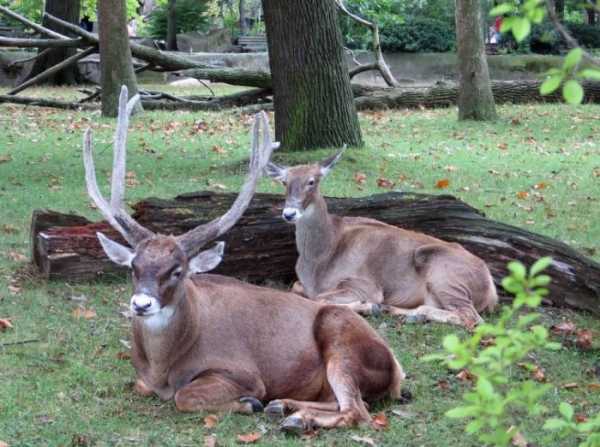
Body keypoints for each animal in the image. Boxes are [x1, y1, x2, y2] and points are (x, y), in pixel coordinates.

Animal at [82, 86, 406, 434]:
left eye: (177, 271)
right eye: (134, 266)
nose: (141, 304)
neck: (162, 367)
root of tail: (397, 370)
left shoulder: (243, 372)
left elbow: (185, 396)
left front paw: (248, 402)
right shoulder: (143, 380)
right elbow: (139, 385)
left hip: (342, 340)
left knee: (357, 411)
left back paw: (292, 416)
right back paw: (284, 407)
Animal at [268, 149, 496, 328]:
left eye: (312, 181)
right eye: (284, 182)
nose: (289, 214)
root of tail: (491, 289)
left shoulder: (364, 284)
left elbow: (320, 299)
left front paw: (368, 306)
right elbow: (296, 287)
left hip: (446, 275)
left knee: (472, 318)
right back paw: (397, 311)